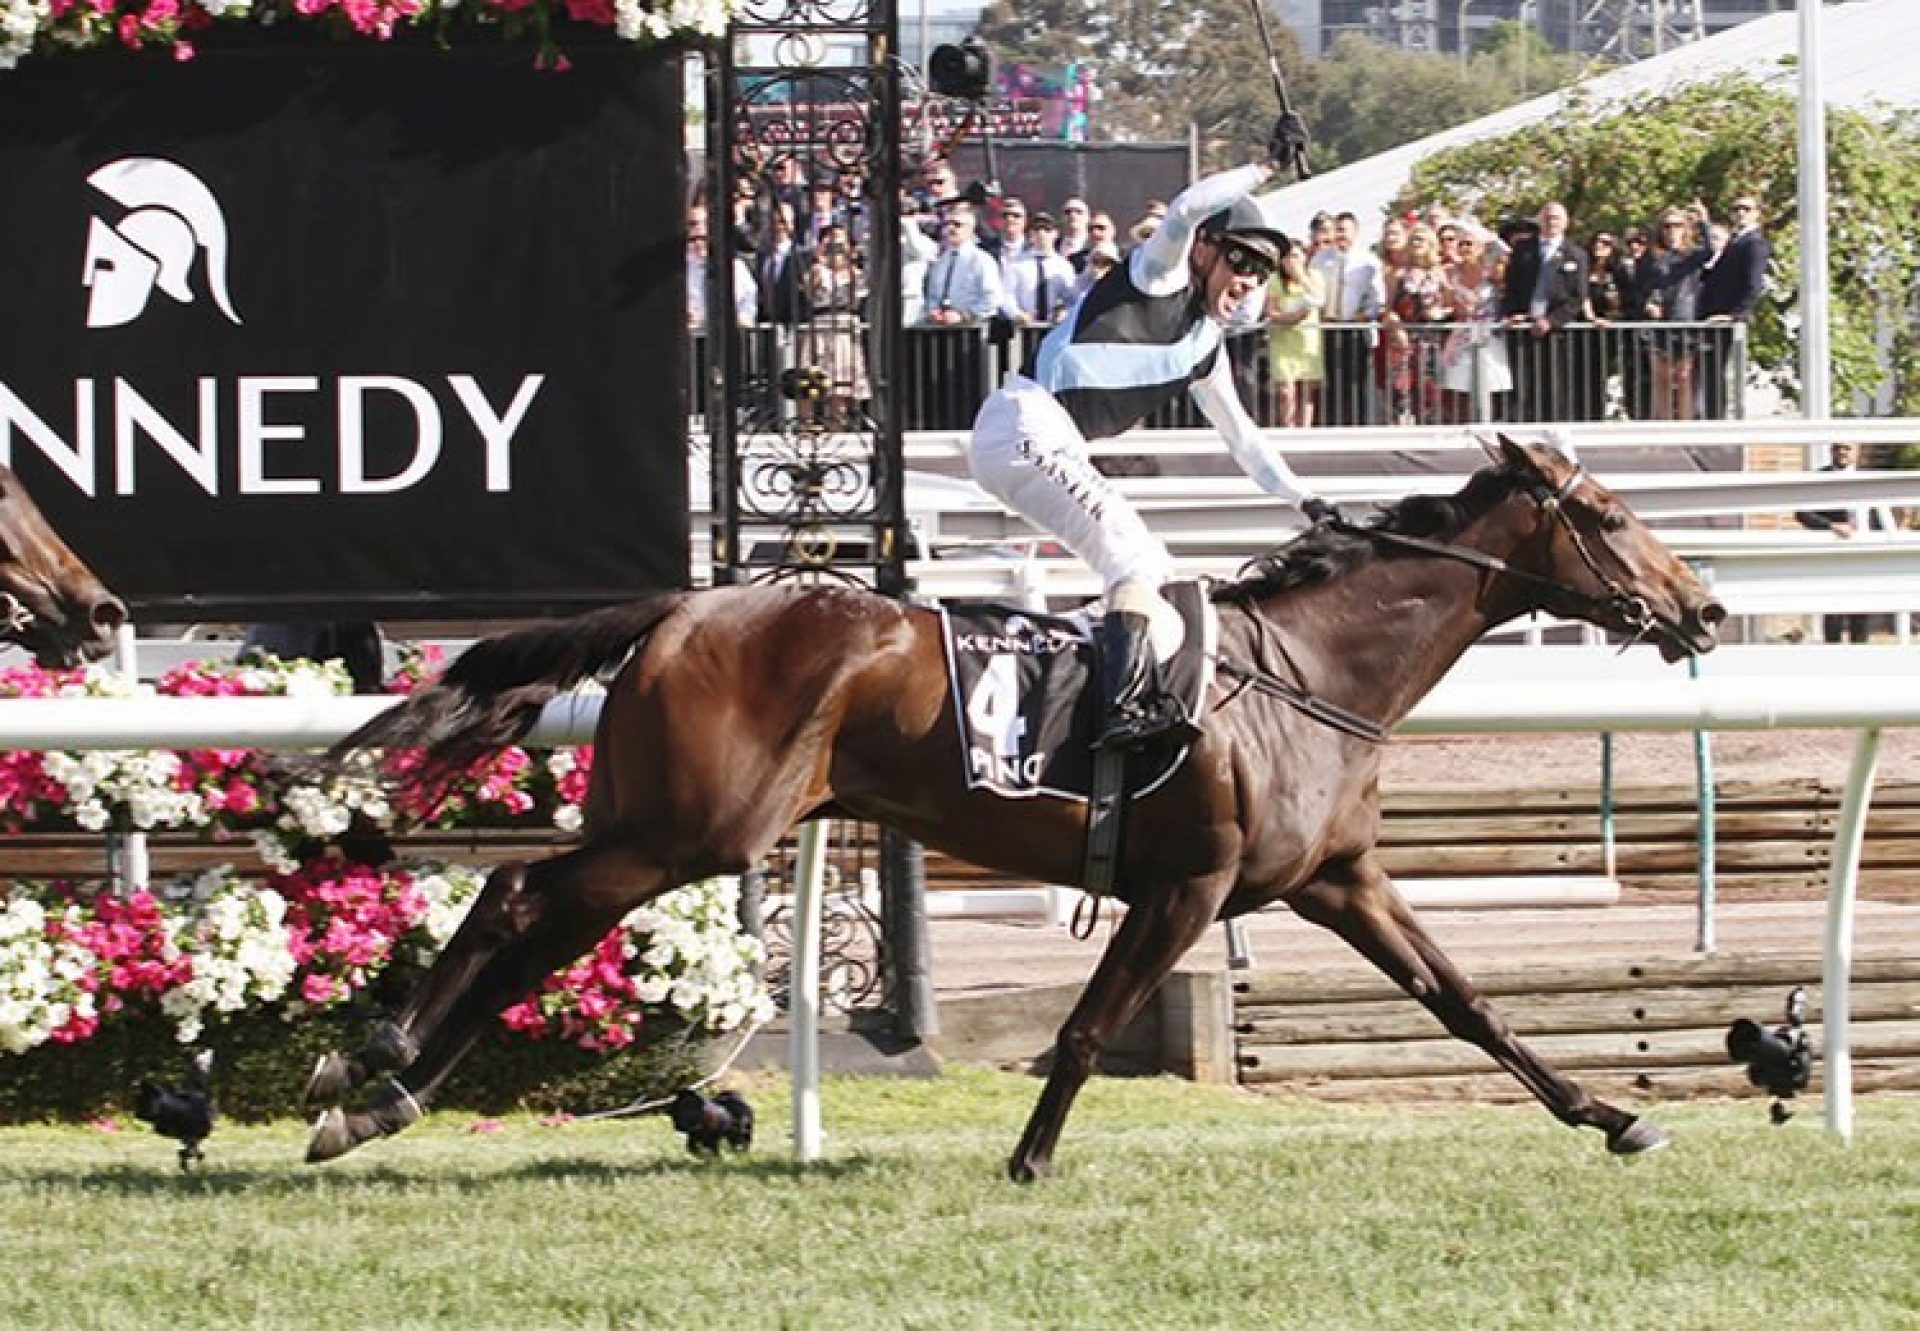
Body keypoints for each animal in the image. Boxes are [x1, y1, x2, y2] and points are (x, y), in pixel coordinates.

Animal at [311, 441, 1728, 1175]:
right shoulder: (1190, 883)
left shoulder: (1337, 880)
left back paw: (380, 1087)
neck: (1312, 673)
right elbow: (1090, 1027)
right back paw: (374, 1067)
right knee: (521, 896)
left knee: (528, 911)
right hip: (693, 828)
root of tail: (683, 604)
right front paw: (1031, 1157)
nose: (1706, 607)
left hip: (664, 822)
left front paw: (1614, 1114)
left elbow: (1466, 999)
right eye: (1608, 513)